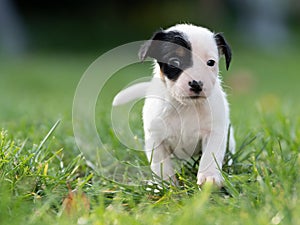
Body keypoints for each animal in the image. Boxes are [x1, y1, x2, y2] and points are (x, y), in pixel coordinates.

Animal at [112, 23, 234, 187]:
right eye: (175, 62)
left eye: (211, 62)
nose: (197, 84)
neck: (185, 107)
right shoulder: (156, 139)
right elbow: (161, 165)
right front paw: (166, 184)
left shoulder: (214, 132)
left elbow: (210, 155)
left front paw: (209, 177)